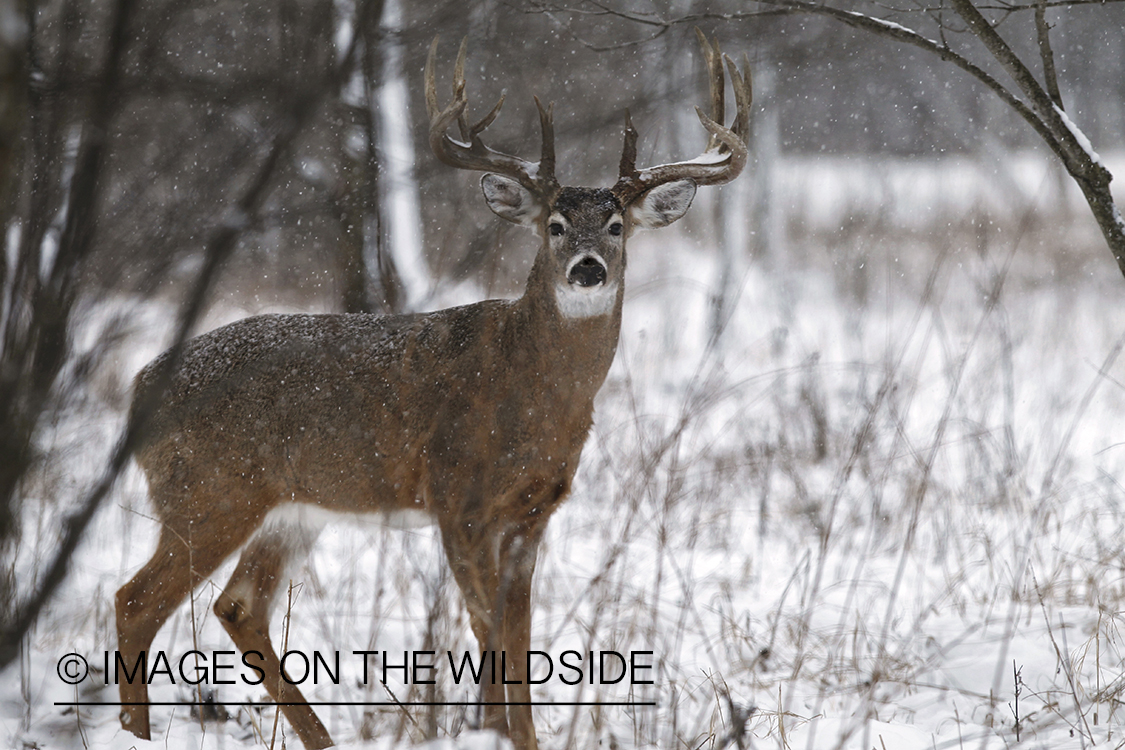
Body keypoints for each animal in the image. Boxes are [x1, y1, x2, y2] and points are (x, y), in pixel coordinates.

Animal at [114, 30, 751, 750]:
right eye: (554, 225)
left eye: (616, 226)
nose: (587, 269)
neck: (531, 390)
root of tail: (138, 386)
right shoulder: (456, 494)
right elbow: (488, 631)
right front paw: (496, 733)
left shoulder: (533, 512)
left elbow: (518, 638)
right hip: (209, 492)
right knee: (136, 601)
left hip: (290, 507)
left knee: (236, 605)